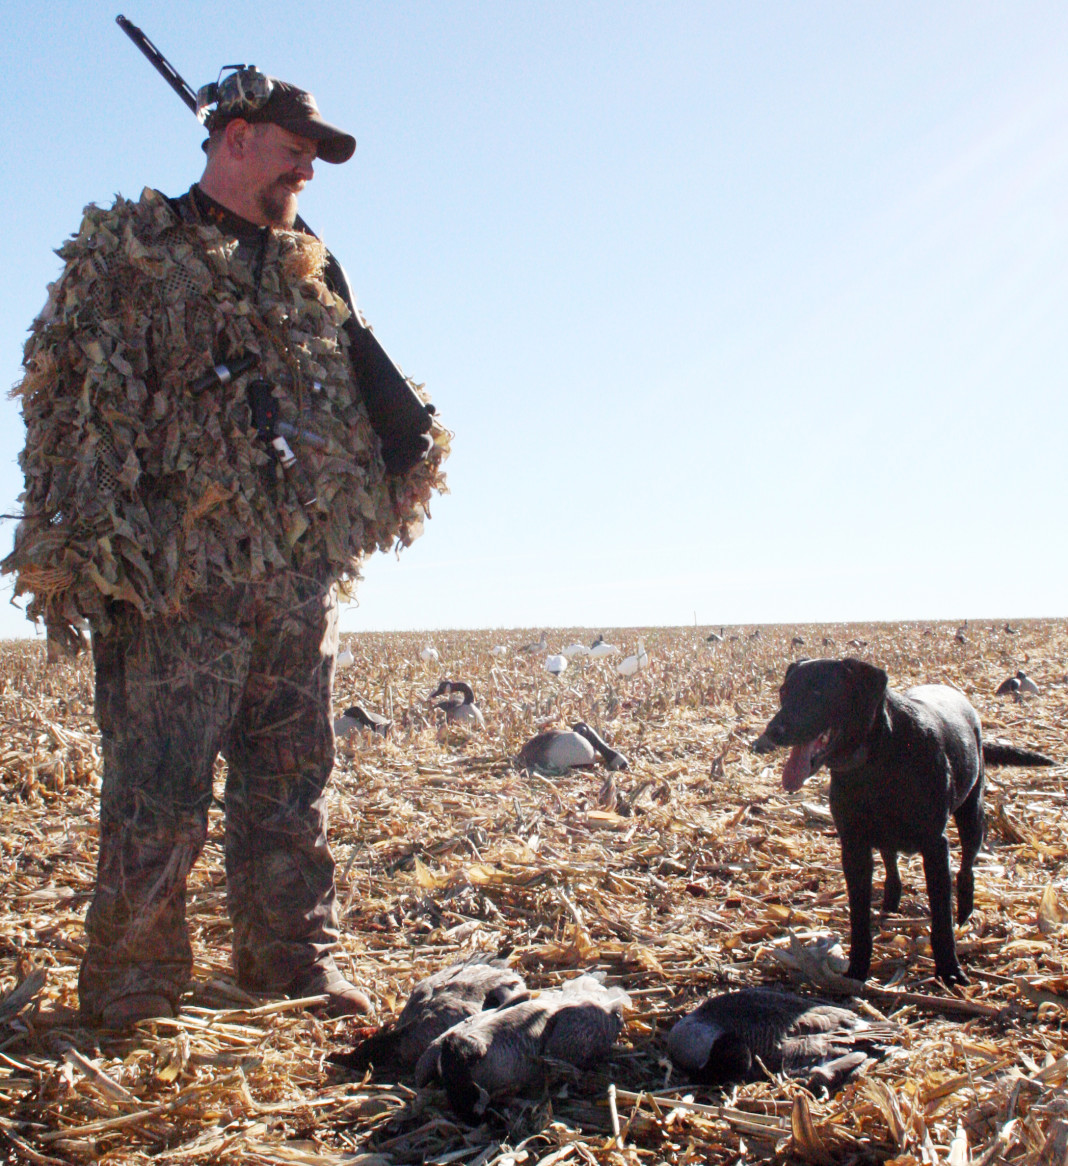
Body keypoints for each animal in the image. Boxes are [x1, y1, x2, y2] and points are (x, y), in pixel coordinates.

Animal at [755, 657, 1054, 984]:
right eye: (784, 691)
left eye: (818, 692)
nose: (772, 732)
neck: (877, 760)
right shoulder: (854, 846)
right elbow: (859, 918)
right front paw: (856, 972)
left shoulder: (935, 846)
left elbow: (941, 918)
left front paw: (949, 972)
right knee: (892, 869)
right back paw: (890, 908)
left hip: (972, 816)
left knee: (966, 871)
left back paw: (965, 917)